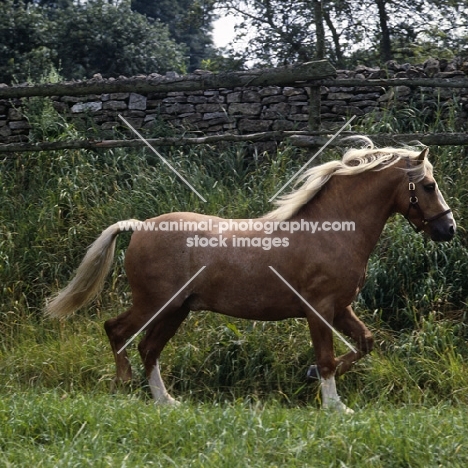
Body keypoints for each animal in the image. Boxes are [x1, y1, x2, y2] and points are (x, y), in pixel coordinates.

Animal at [45, 138, 456, 414]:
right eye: (429, 185)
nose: (448, 229)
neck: (331, 231)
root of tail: (140, 226)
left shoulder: (341, 308)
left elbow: (364, 343)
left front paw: (312, 378)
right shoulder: (319, 309)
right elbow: (326, 358)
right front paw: (334, 406)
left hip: (178, 309)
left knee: (148, 348)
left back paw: (166, 400)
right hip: (155, 303)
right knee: (117, 331)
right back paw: (125, 382)